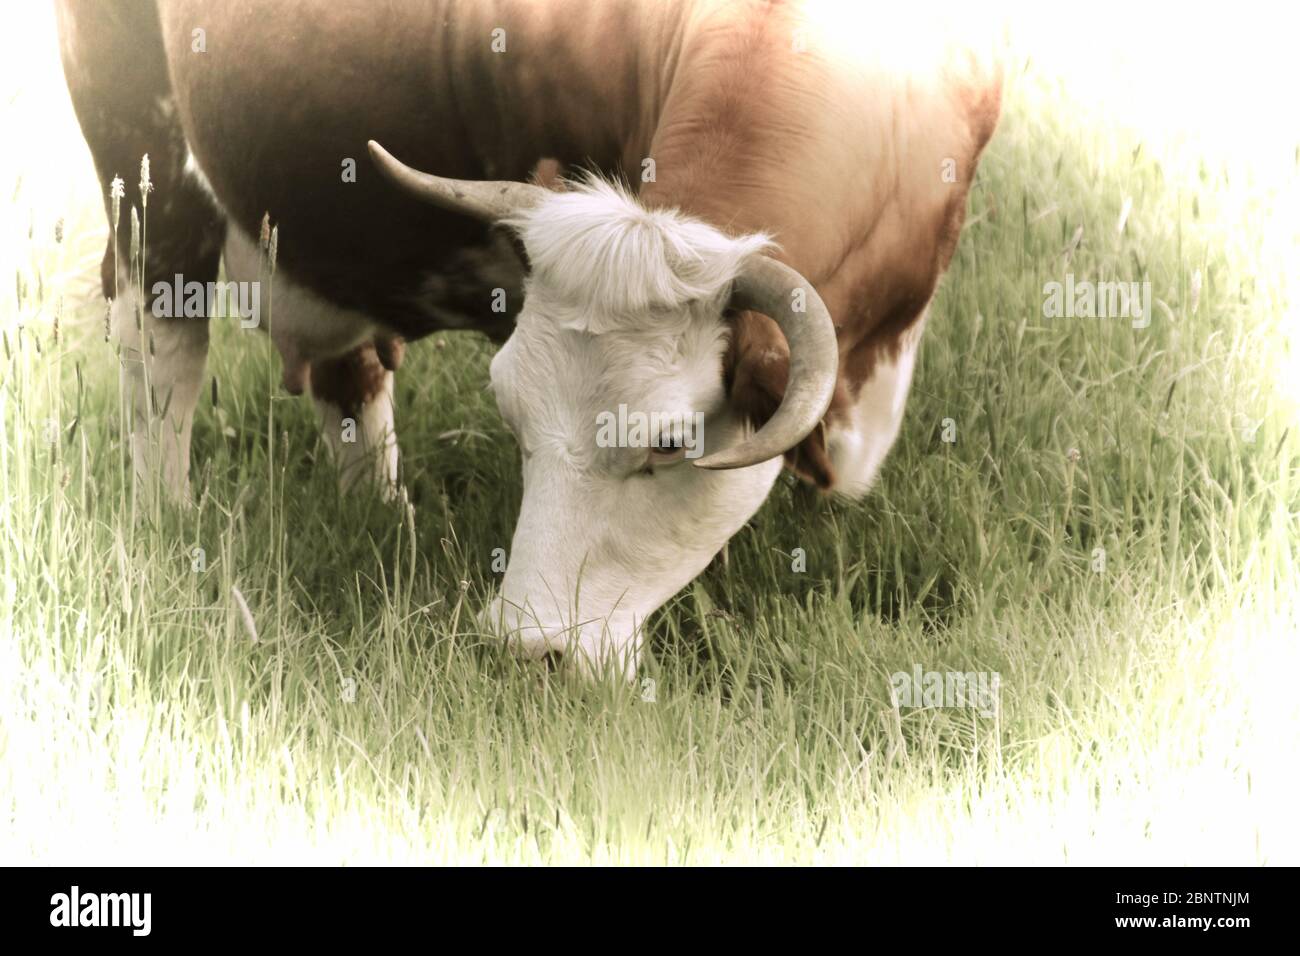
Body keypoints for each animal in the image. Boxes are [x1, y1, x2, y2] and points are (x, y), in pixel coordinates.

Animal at [55, 0, 1002, 678]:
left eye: (669, 442)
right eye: (513, 418)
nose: (529, 649)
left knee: (349, 375)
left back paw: (382, 513)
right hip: (141, 165)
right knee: (162, 356)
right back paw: (166, 518)